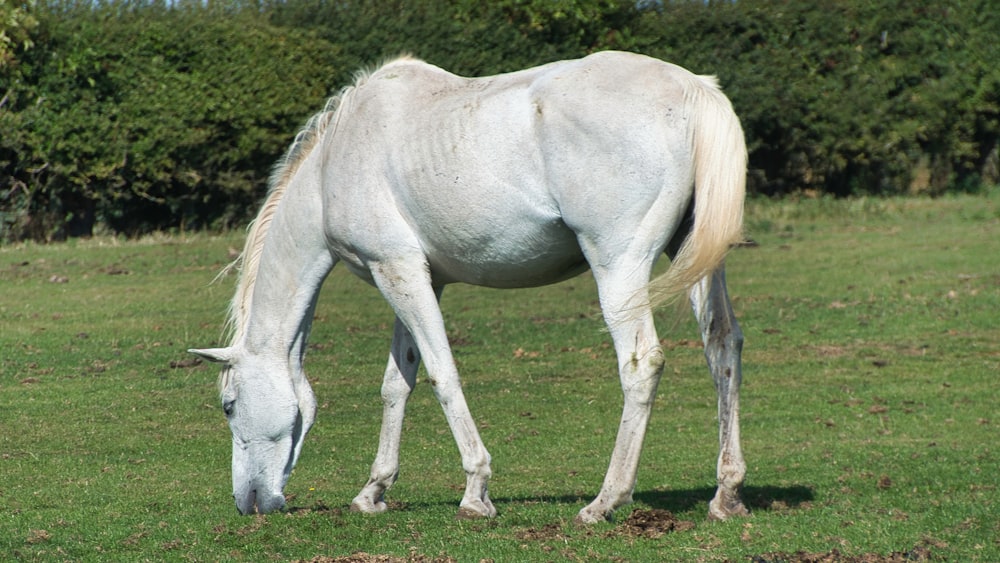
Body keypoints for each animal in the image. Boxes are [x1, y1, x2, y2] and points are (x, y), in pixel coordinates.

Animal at [191, 53, 748, 524]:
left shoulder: (396, 271)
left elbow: (442, 373)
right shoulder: (418, 278)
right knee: (722, 346)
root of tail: (694, 89)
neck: (336, 162)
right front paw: (373, 492)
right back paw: (726, 494)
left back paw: (605, 501)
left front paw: (476, 493)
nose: (249, 502)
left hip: (619, 267)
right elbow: (397, 383)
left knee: (640, 364)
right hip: (694, 260)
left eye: (229, 405)